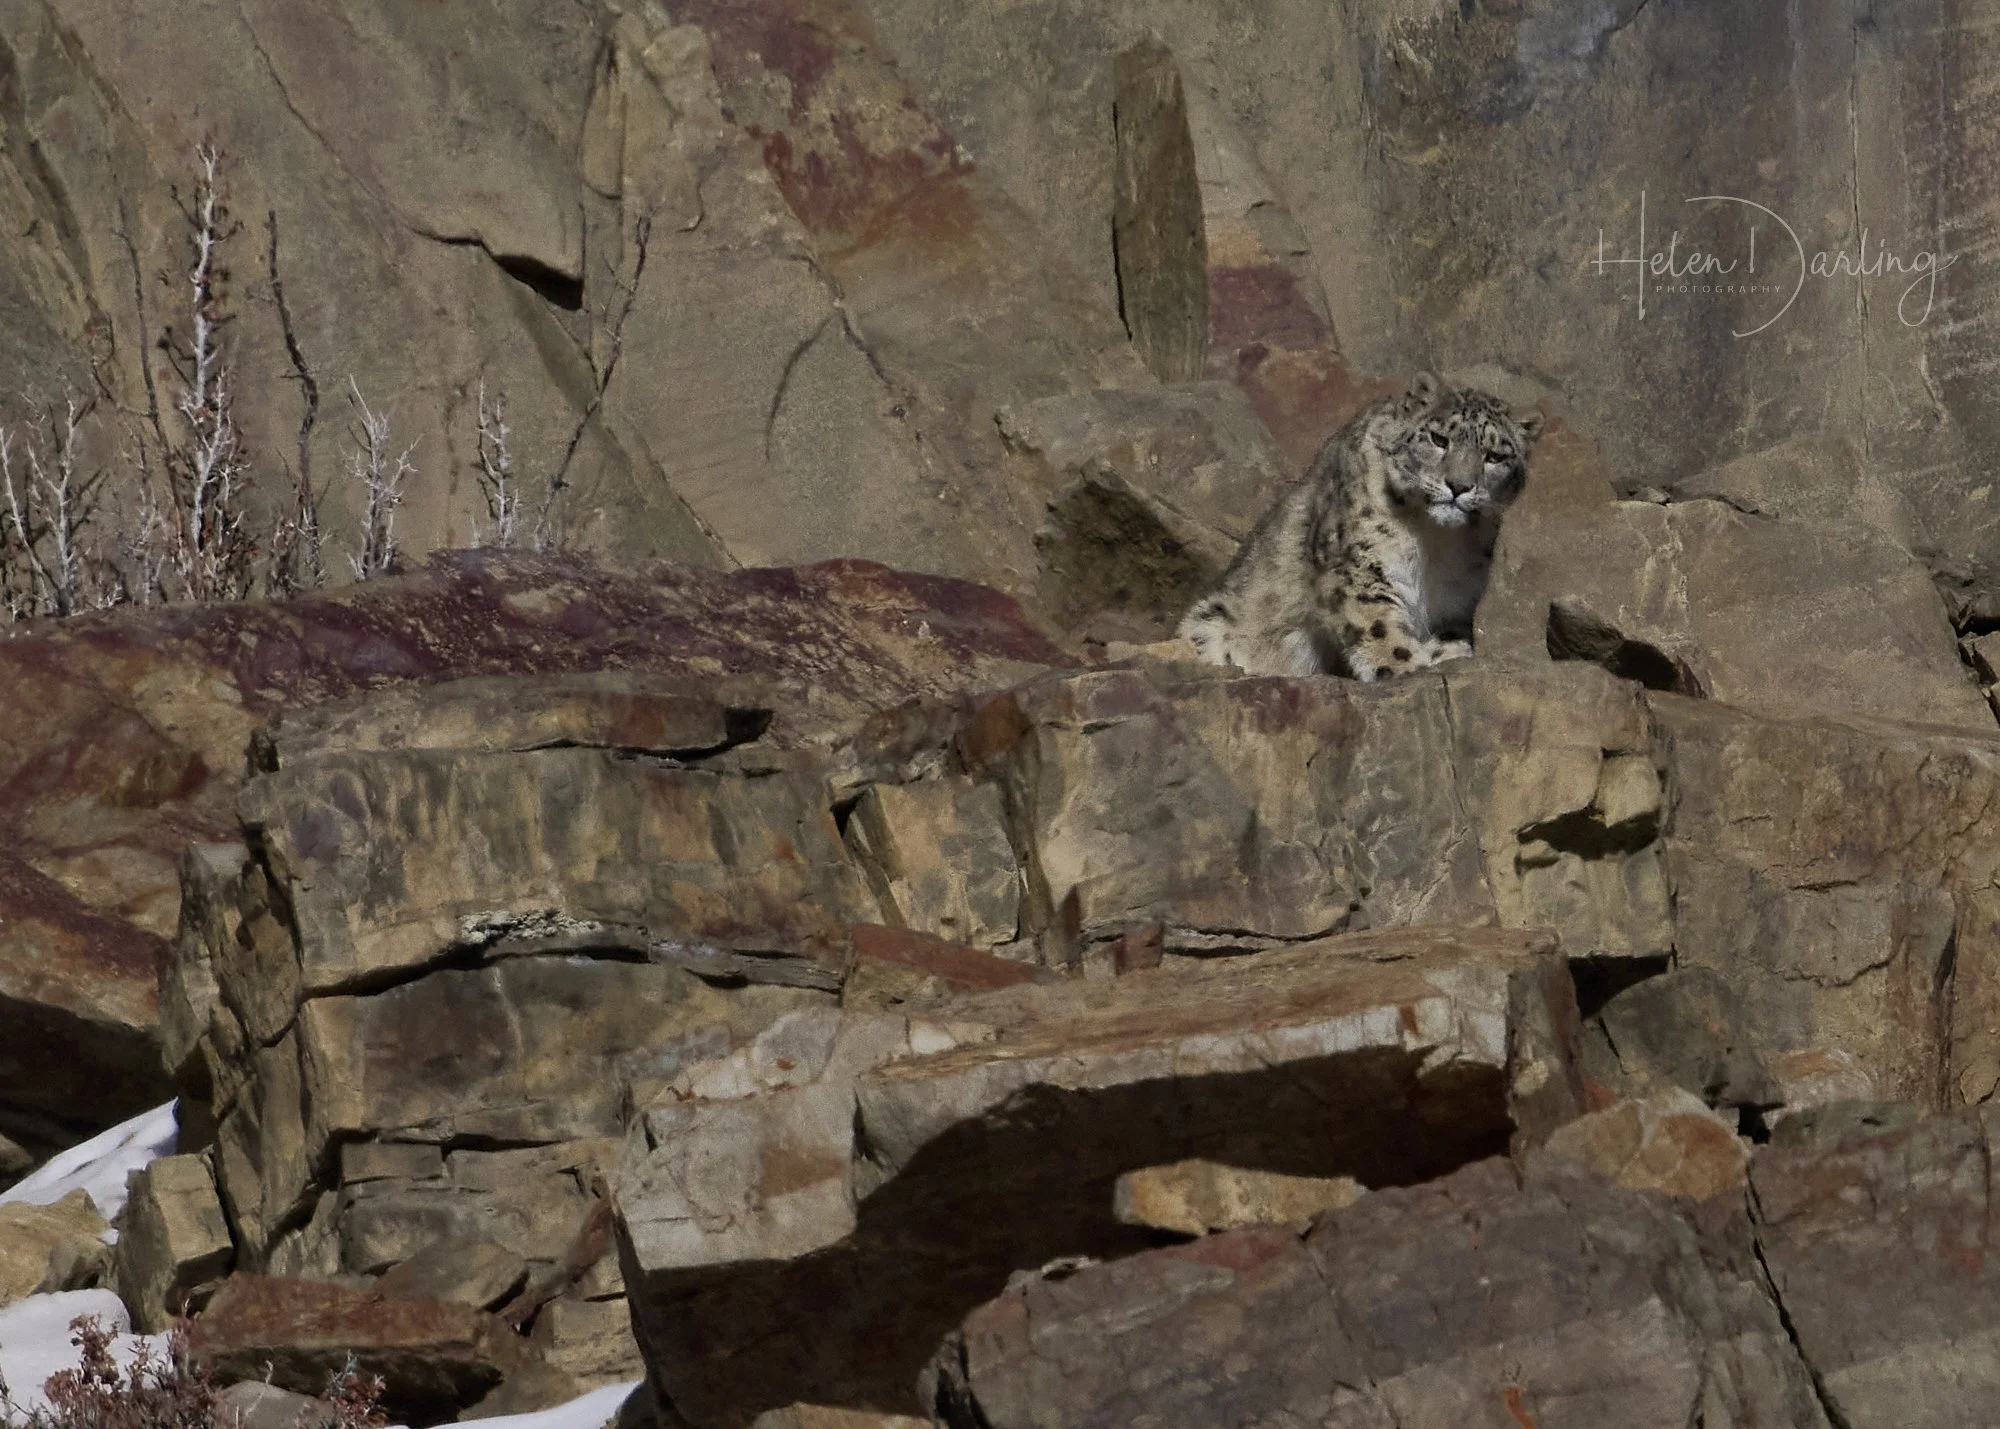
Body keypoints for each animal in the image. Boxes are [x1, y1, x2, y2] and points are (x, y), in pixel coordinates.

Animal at [1177, 372, 1541, 681]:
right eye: (1439, 439)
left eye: (1494, 456)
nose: (1459, 486)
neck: (1436, 545)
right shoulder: (1355, 565)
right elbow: (1378, 624)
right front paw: (1409, 664)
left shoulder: (1456, 596)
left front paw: (1447, 656)